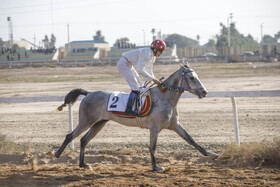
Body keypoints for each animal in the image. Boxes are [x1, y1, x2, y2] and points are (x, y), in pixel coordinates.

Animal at [47, 62, 219, 171]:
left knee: (83, 140)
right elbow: (152, 147)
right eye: (191, 78)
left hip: (99, 123)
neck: (165, 98)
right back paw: (56, 154)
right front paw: (155, 167)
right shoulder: (154, 128)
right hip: (86, 121)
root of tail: (88, 93)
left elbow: (192, 140)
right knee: (70, 135)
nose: (205, 92)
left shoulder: (175, 125)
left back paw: (83, 164)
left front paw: (212, 154)